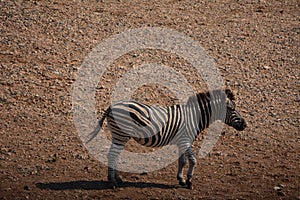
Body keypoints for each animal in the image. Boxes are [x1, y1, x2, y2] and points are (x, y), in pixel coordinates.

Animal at [88, 89, 246, 189]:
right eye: (232, 109)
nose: (245, 125)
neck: (194, 117)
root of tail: (112, 106)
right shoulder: (185, 140)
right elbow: (193, 160)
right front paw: (189, 181)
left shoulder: (182, 142)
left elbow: (182, 161)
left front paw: (181, 180)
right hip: (121, 134)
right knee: (112, 155)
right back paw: (112, 183)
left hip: (119, 135)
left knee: (114, 156)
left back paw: (118, 179)